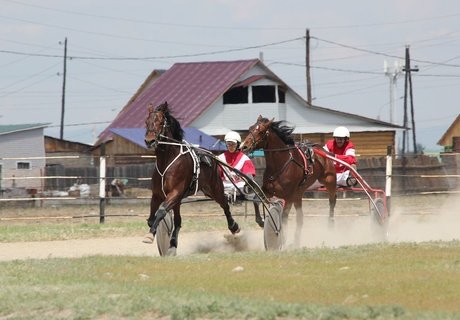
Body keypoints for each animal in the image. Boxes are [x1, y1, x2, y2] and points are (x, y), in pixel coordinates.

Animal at [144, 101, 239, 256]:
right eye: (146, 122)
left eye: (160, 122)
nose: (149, 141)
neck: (167, 161)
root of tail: (211, 156)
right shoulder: (158, 194)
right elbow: (152, 218)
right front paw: (153, 233)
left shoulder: (175, 192)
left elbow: (161, 211)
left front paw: (149, 235)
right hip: (185, 198)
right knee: (178, 221)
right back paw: (172, 244)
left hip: (214, 188)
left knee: (225, 204)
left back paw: (233, 226)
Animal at [239, 116, 336, 246]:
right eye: (250, 129)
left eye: (261, 131)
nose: (244, 146)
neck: (280, 165)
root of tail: (323, 151)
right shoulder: (268, 191)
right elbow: (256, 200)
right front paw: (261, 220)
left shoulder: (289, 196)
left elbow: (284, 218)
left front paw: (281, 237)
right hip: (299, 194)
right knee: (300, 219)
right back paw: (296, 242)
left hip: (329, 180)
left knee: (332, 201)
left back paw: (330, 223)